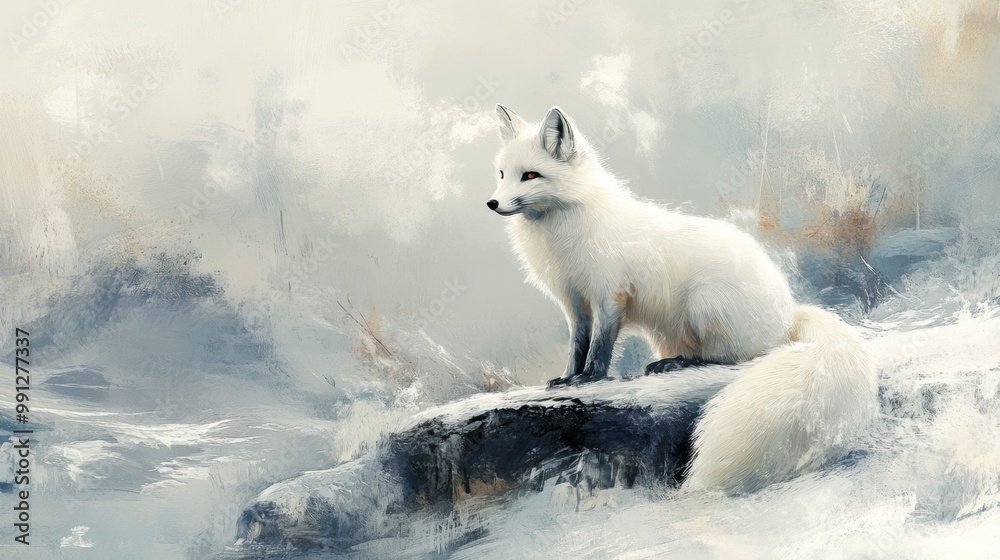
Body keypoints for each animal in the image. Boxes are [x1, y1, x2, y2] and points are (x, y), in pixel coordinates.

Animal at [487, 104, 879, 494]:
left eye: (531, 175)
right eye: (503, 174)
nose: (492, 203)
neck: (561, 231)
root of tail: (788, 317)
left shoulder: (610, 295)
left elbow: (600, 347)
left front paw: (590, 379)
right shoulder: (574, 301)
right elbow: (577, 345)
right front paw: (567, 378)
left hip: (704, 307)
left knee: (730, 358)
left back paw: (676, 365)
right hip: (667, 331)